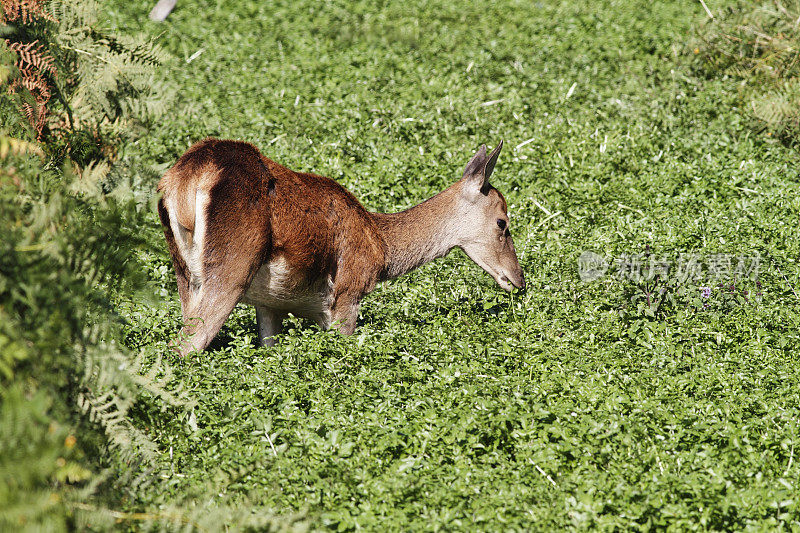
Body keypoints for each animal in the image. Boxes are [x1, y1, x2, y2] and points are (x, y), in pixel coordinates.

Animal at [159, 137, 528, 356]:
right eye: (503, 222)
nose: (519, 280)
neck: (381, 247)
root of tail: (185, 181)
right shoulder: (348, 291)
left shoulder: (269, 303)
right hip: (231, 268)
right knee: (182, 347)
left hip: (184, 273)